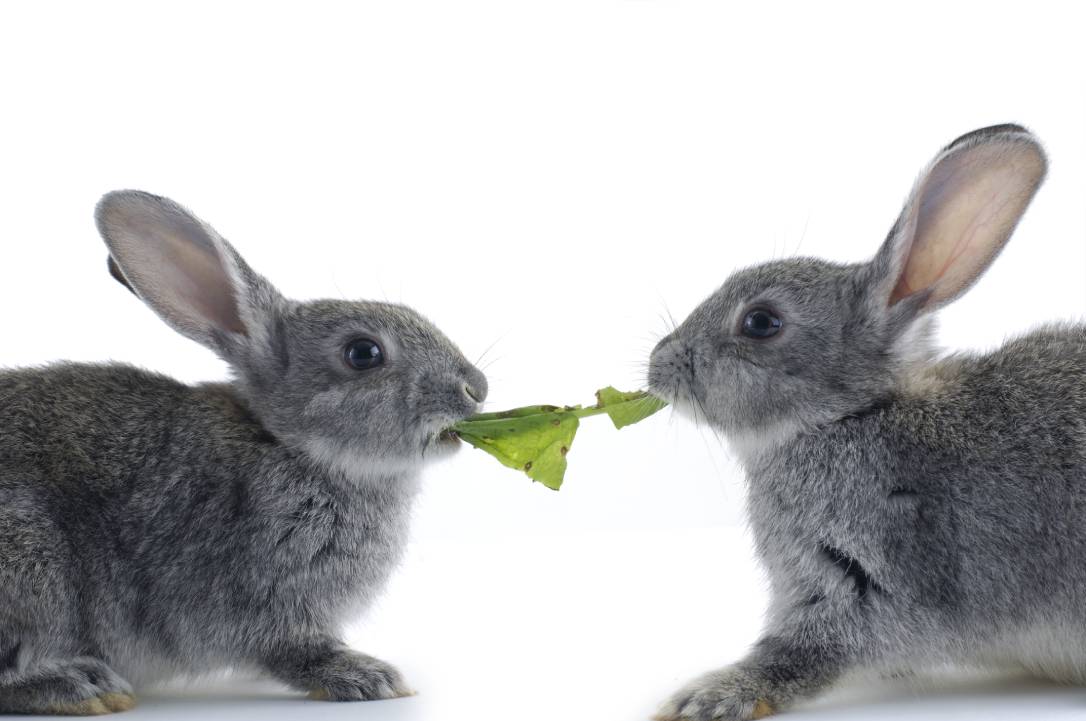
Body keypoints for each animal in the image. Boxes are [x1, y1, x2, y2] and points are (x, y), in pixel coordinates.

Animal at [0, 191, 487, 714]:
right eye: (363, 353)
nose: (476, 389)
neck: (286, 444)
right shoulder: (263, 597)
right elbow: (291, 650)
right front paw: (367, 676)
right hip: (33, 562)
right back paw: (79, 686)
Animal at [647, 124, 1079, 720]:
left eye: (761, 322)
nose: (657, 364)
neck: (848, 416)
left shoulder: (866, 585)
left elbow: (799, 655)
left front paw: (707, 697)